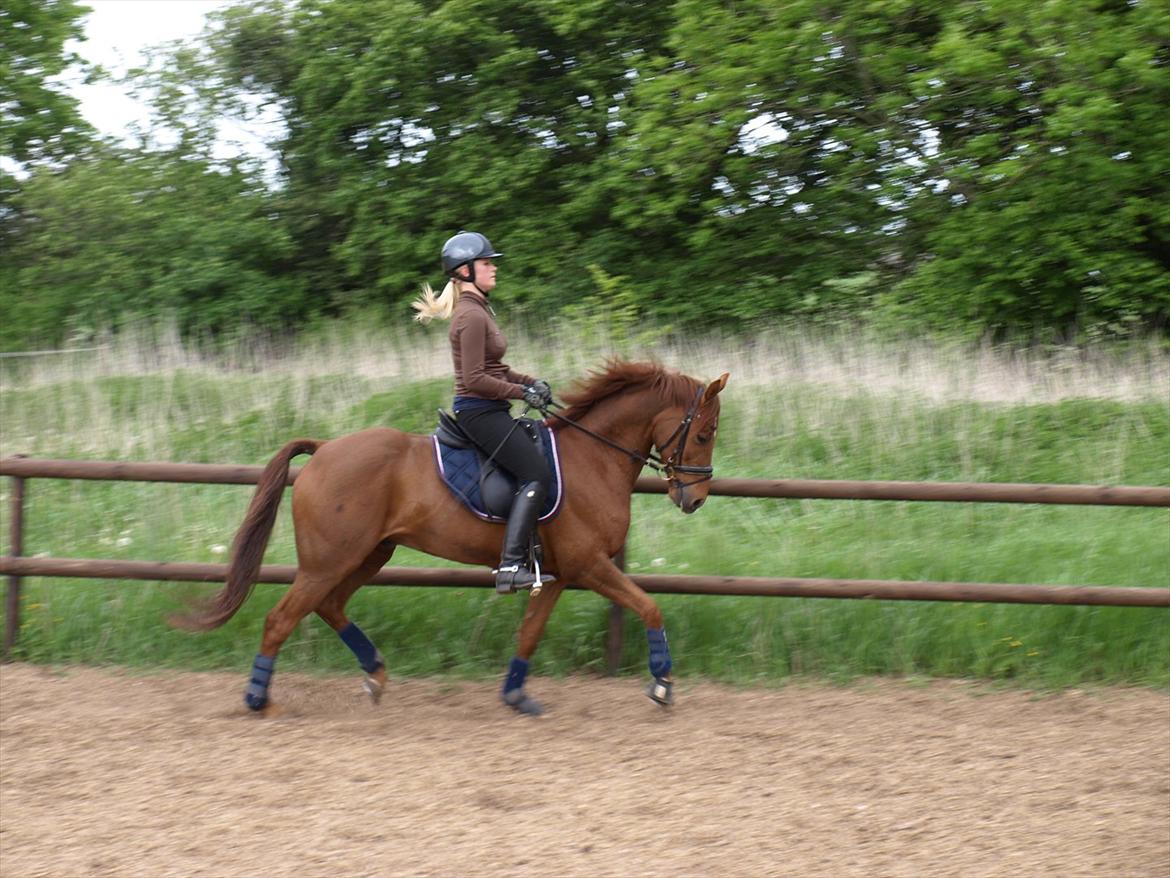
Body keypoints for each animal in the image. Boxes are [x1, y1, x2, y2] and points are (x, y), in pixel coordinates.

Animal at [174, 360, 729, 715]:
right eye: (704, 433)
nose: (696, 498)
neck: (594, 459)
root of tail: (326, 448)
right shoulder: (590, 564)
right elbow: (649, 606)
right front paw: (662, 684)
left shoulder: (558, 573)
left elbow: (529, 633)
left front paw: (515, 696)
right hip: (329, 560)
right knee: (282, 618)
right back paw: (257, 699)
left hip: (368, 554)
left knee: (329, 607)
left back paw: (375, 674)